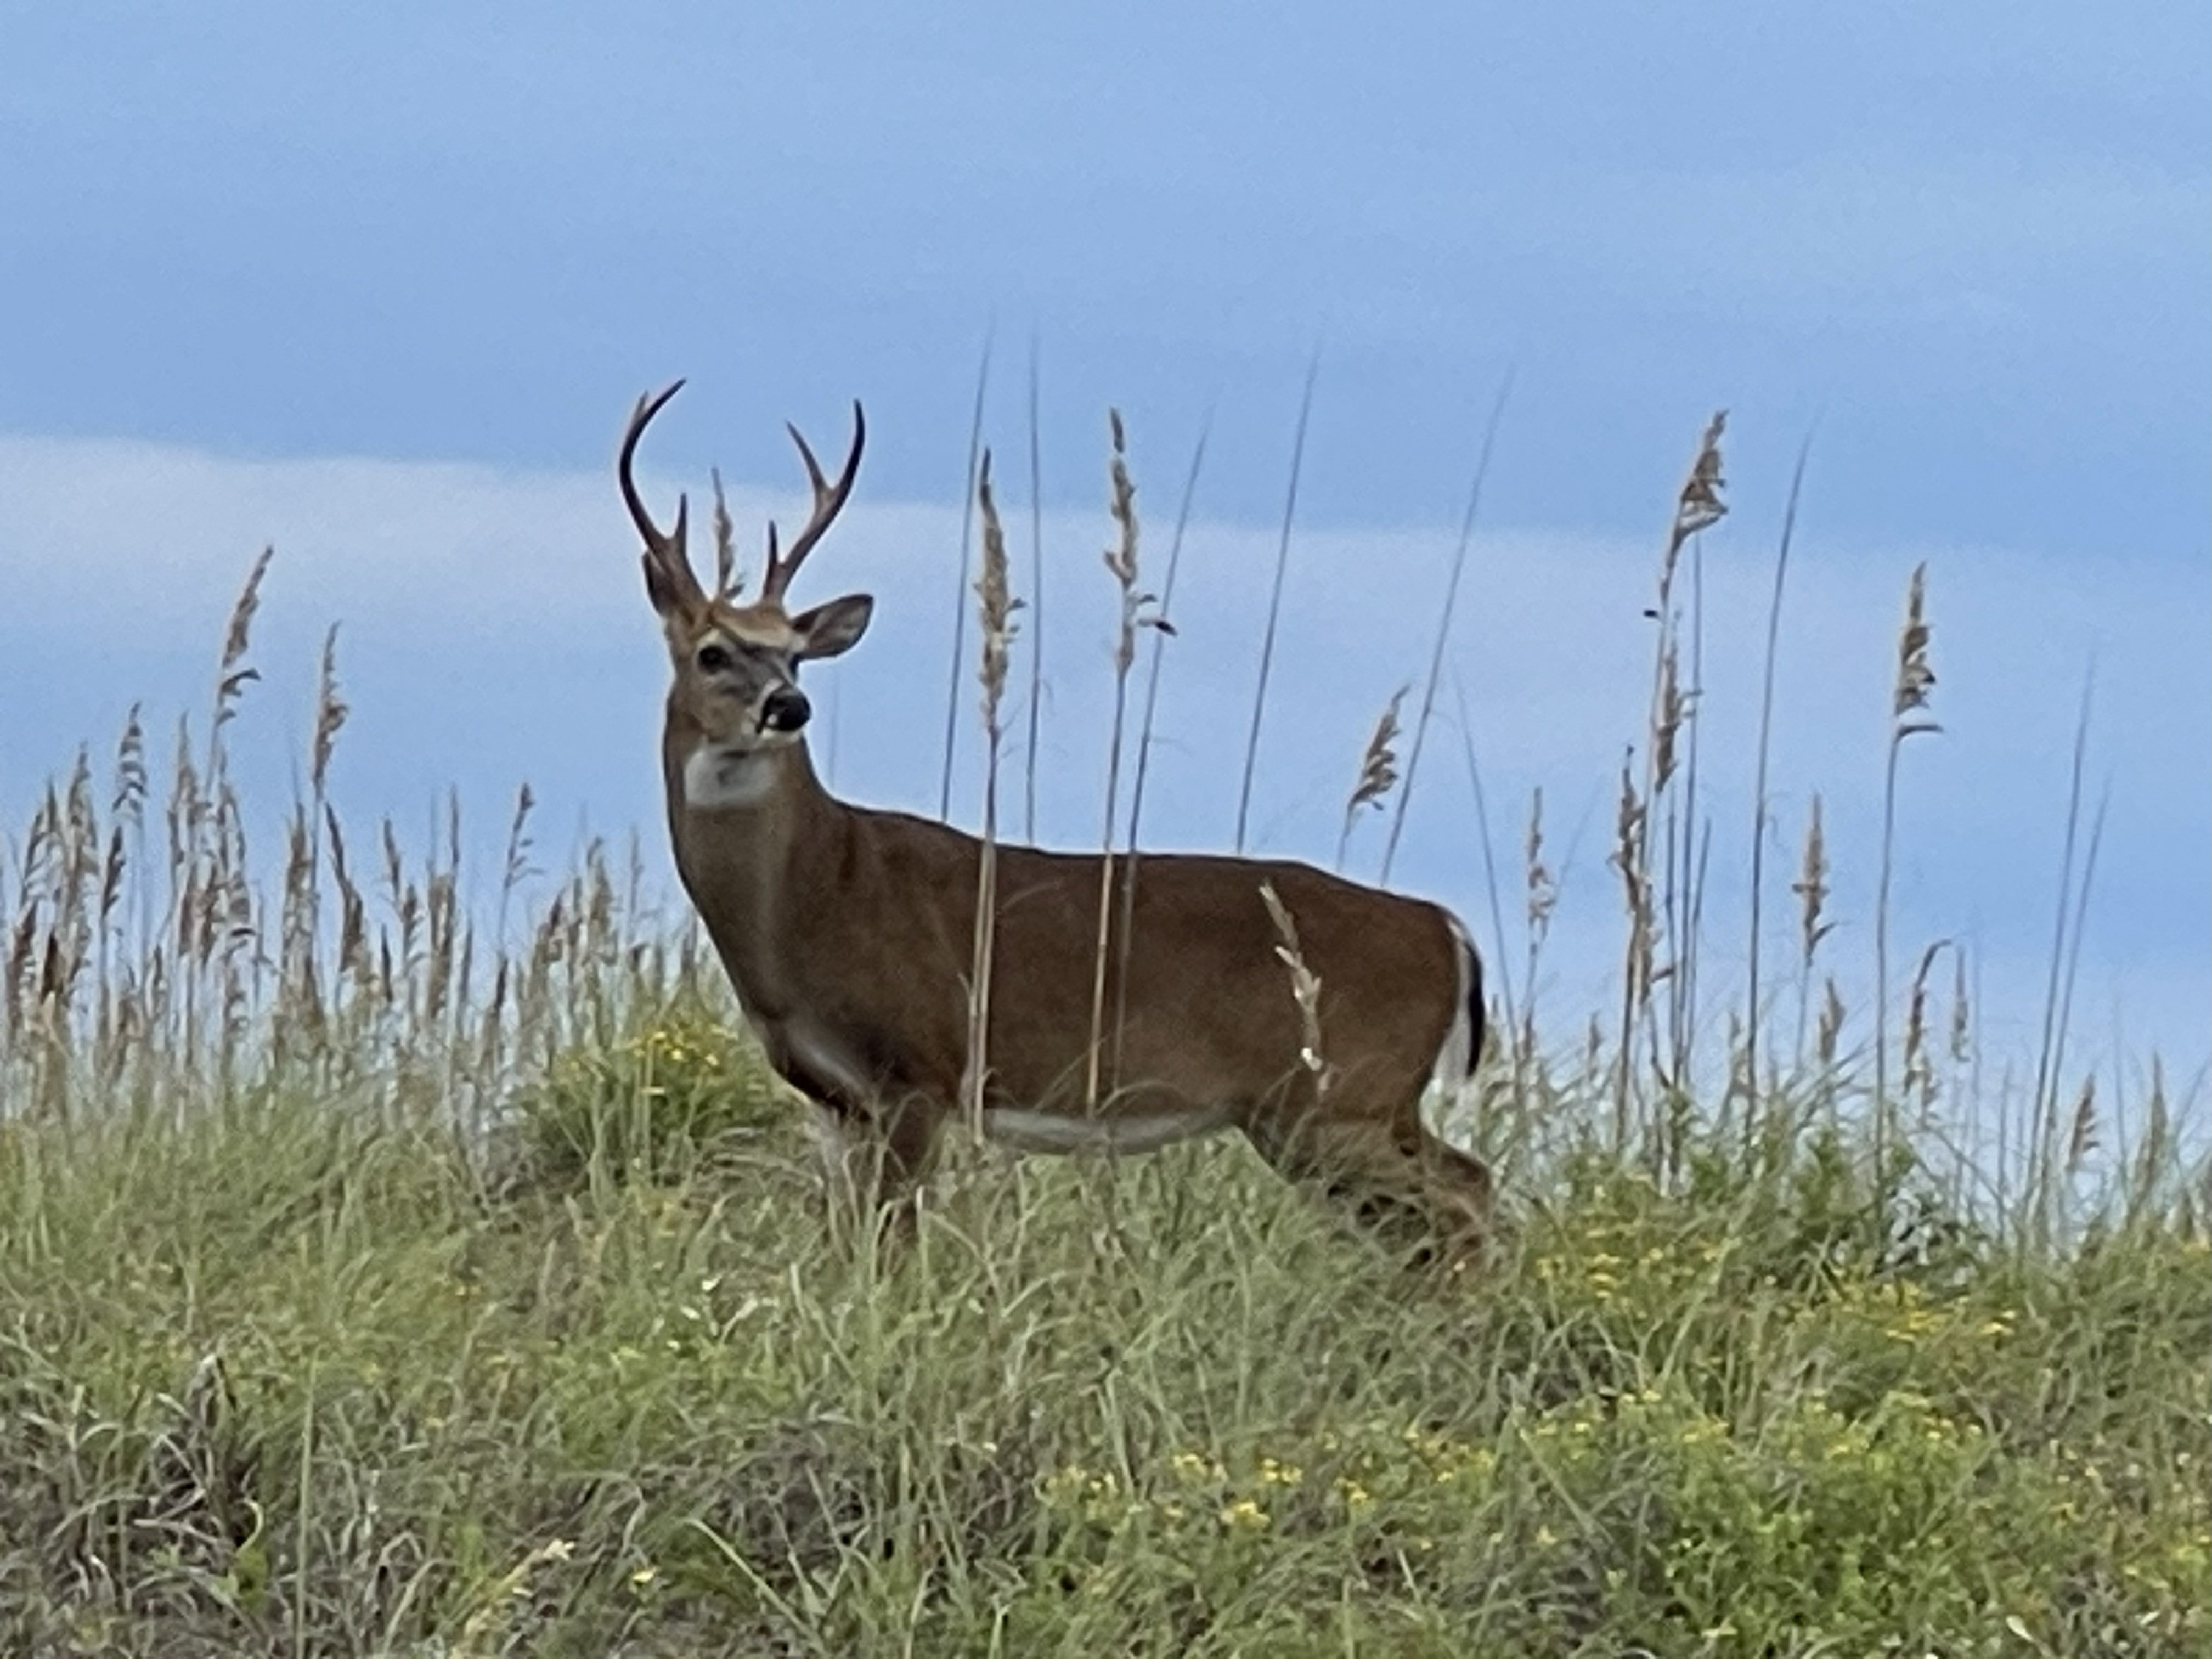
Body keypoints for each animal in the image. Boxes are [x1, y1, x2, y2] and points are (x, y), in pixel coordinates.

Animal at [618, 382, 1496, 1261]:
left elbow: (895, 1244)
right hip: (1335, 1110)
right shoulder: (835, 1102)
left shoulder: (921, 1068)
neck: (816, 891)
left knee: (1468, 1199)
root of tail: (1446, 929)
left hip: (1341, 1095)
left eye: (793, 654)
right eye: (713, 653)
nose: (788, 707)